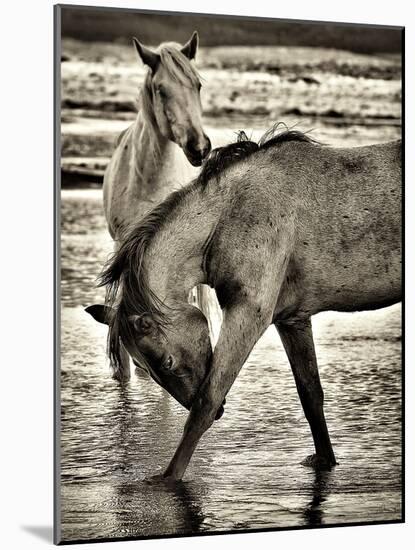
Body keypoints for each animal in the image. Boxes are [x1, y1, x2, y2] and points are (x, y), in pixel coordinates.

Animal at [87, 129, 400, 484]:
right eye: (143, 368)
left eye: (167, 362)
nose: (224, 413)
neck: (229, 217)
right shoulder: (292, 320)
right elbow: (311, 396)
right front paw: (325, 460)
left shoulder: (249, 314)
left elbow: (205, 403)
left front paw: (169, 478)